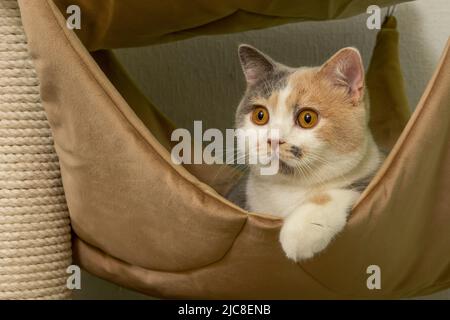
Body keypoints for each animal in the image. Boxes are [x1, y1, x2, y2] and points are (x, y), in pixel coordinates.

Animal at [229, 43, 384, 262]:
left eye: (307, 118)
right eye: (260, 115)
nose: (273, 139)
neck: (288, 187)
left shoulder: (373, 172)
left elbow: (346, 189)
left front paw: (302, 231)